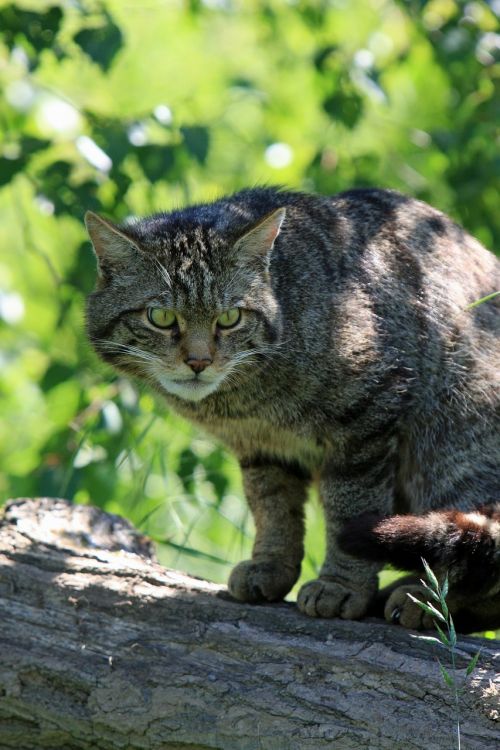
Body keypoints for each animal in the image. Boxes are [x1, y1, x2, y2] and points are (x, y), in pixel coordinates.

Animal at [84, 185, 498, 632]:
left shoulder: (368, 414)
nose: (198, 362)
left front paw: (342, 584)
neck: (247, 399)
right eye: (160, 317)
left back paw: (428, 598)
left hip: (452, 438)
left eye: (229, 318)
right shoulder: (261, 447)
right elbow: (272, 508)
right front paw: (271, 564)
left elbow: (351, 509)